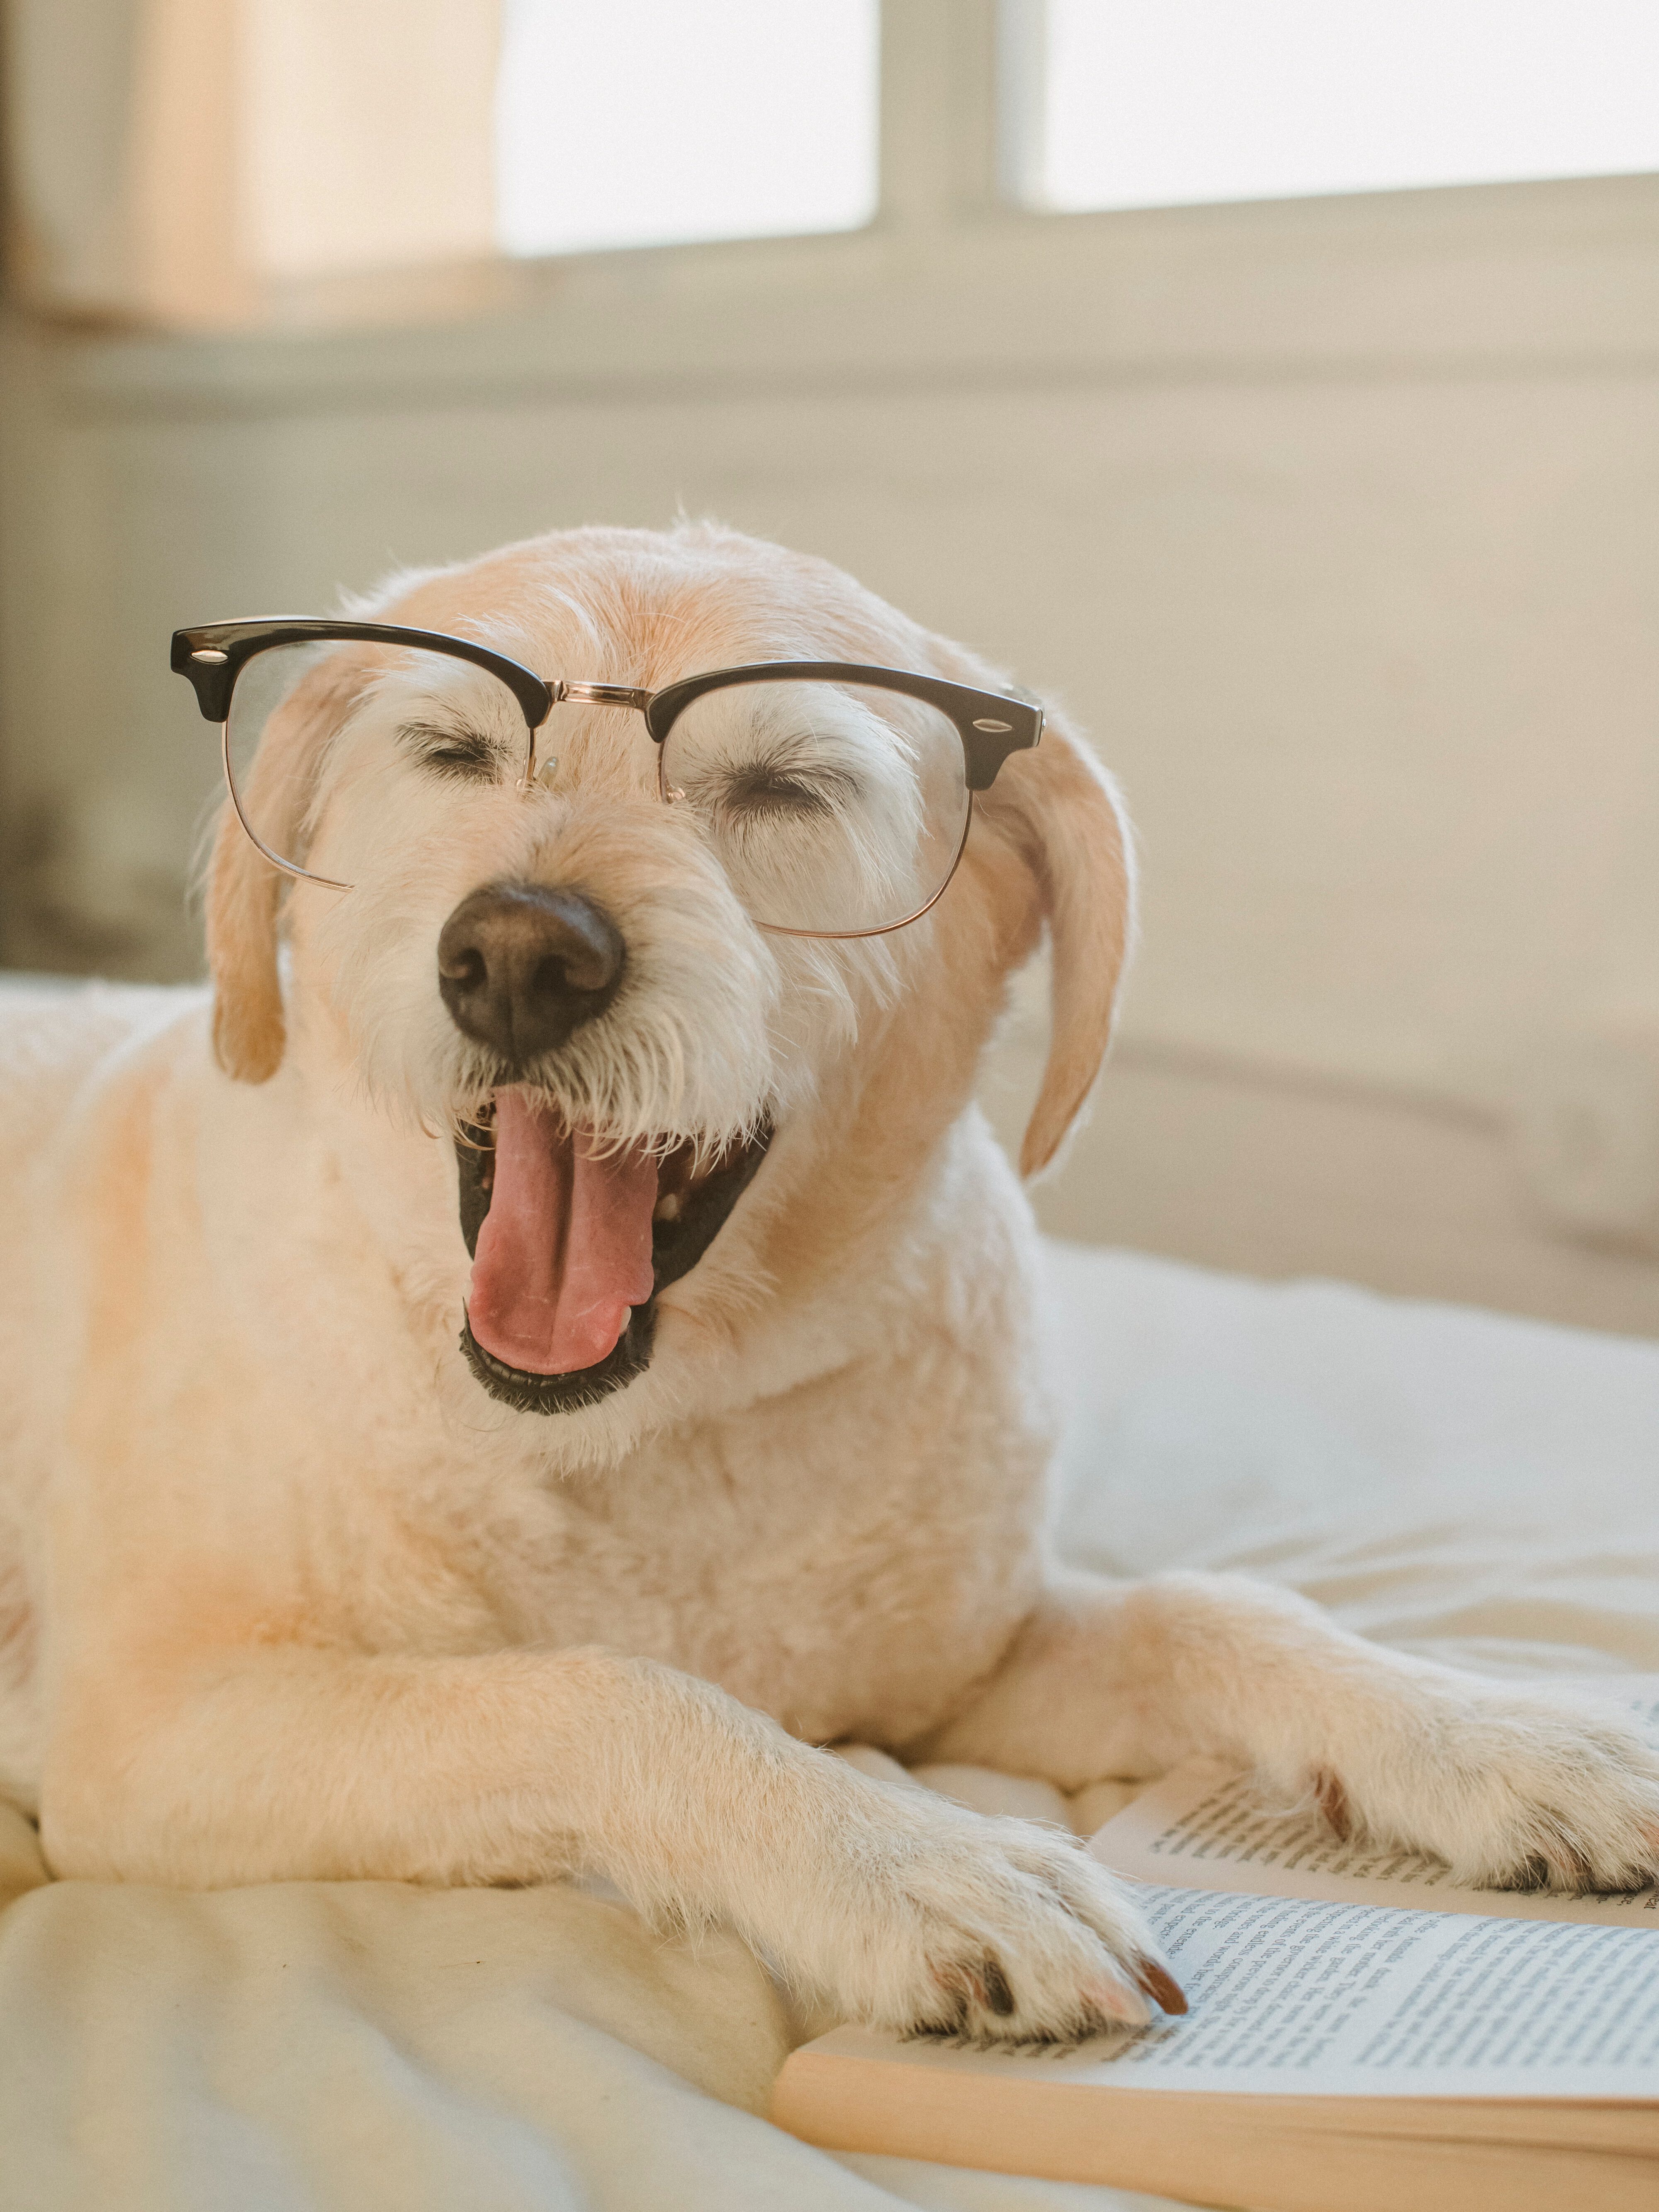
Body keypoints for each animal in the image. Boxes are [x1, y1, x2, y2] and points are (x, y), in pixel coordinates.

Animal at [3, 526, 1659, 2044]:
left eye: (784, 787)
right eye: (452, 749)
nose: (518, 955)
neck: (663, 1426)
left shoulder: (958, 1674)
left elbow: (1213, 1610)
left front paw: (1501, 1736)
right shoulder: (149, 1733)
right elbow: (600, 1686)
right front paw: (909, 1858)